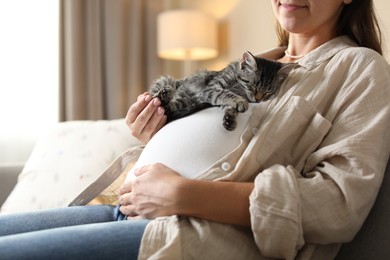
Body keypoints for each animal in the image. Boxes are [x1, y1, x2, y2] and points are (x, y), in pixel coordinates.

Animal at [151, 51, 290, 131]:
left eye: (268, 92)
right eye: (253, 86)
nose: (258, 99)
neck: (238, 87)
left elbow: (229, 106)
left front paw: (230, 118)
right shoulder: (212, 89)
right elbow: (225, 94)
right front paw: (240, 102)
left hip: (185, 102)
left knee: (167, 108)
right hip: (165, 81)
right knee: (155, 98)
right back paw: (164, 93)